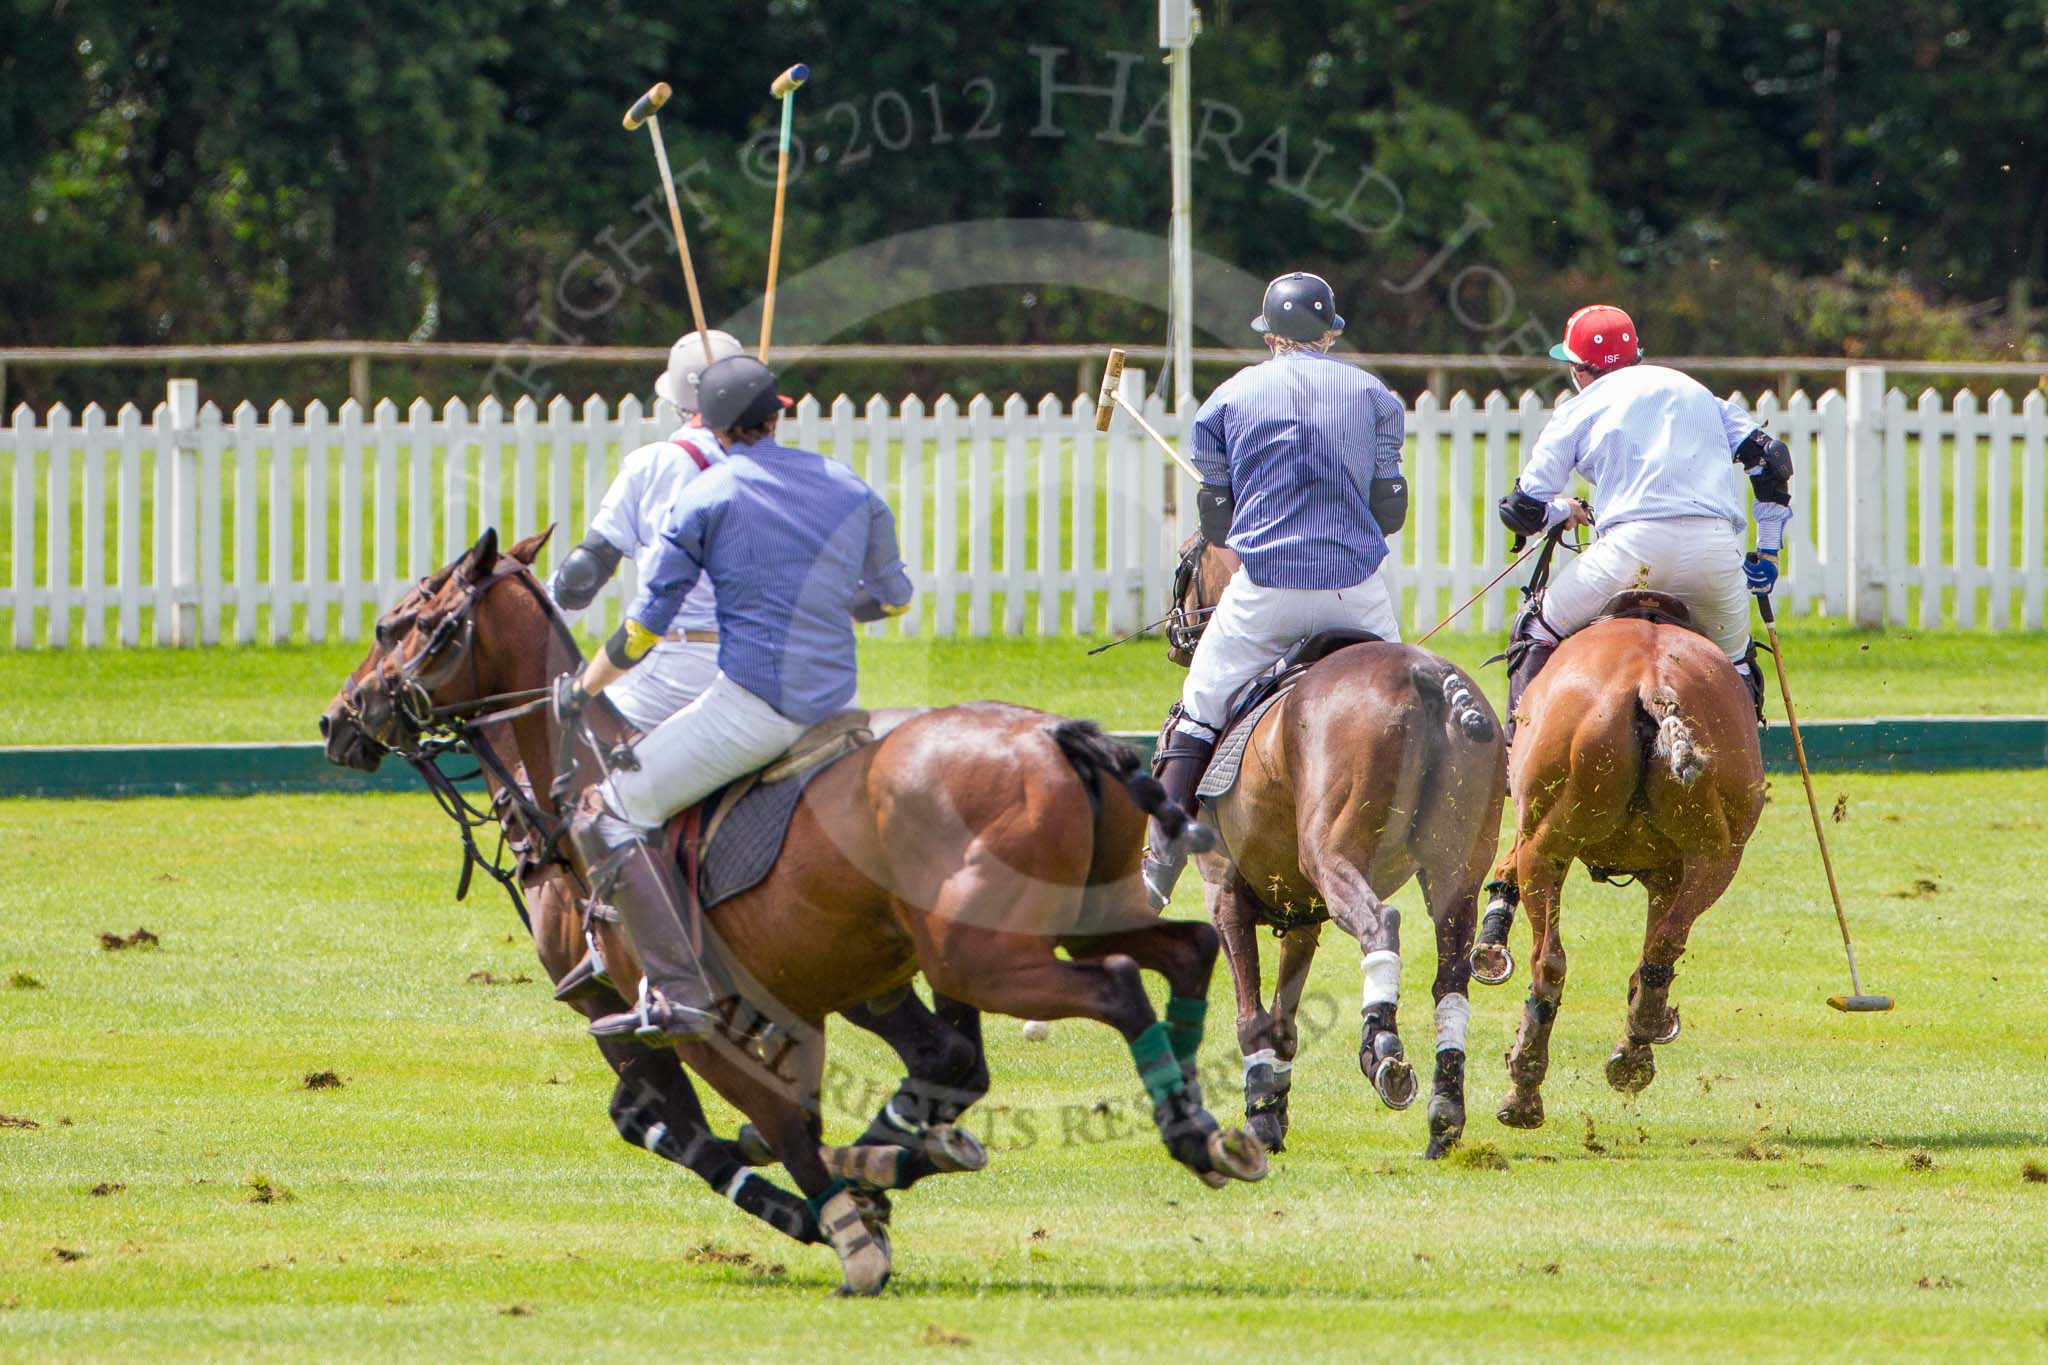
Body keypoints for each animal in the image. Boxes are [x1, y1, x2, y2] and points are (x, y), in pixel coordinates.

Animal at [319, 527, 1261, 1301]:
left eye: (402, 624)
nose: (338, 719)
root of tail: (1059, 737)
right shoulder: (833, 983)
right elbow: (916, 1075)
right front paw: (876, 1178)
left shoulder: (670, 1011)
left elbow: (719, 1122)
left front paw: (846, 1228)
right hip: (1064, 917)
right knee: (1185, 947)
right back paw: (1207, 1128)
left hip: (980, 951)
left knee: (1116, 984)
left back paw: (1183, 1130)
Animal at [1171, 540, 1507, 1162]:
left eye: (1185, 561)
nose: (1174, 633)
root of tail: (1427, 674)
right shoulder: (1303, 914)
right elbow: (1283, 1022)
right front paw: (1273, 1109)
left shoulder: (1222, 890)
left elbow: (1251, 1017)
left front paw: (1259, 1117)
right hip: (1456, 870)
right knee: (1451, 977)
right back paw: (1445, 1115)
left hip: (1333, 855)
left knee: (1381, 923)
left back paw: (1382, 1050)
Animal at [1482, 597, 1769, 1129]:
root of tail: (1653, 686)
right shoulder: (1667, 873)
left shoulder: (1532, 828)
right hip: (1715, 855)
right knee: (1662, 946)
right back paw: (1634, 1050)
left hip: (1548, 842)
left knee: (1549, 959)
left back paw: (1527, 1085)